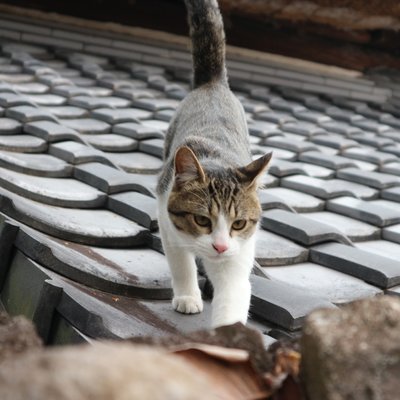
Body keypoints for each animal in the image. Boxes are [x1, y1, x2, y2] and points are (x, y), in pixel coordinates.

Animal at [156, 0, 272, 328]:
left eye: (239, 223)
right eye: (202, 220)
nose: (219, 247)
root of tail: (213, 84)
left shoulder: (238, 254)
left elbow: (233, 294)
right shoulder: (167, 218)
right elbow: (181, 262)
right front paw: (187, 296)